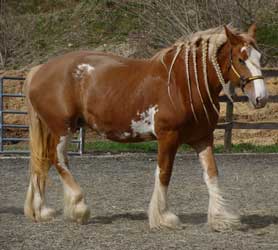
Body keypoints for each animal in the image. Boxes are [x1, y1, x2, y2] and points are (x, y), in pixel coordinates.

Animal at [23, 24, 268, 231]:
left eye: (259, 58)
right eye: (241, 59)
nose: (261, 98)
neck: (184, 84)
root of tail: (39, 70)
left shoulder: (203, 138)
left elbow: (212, 174)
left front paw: (220, 218)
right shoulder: (168, 137)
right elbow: (164, 173)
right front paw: (163, 217)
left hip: (53, 130)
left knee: (42, 162)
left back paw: (41, 211)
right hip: (62, 129)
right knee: (58, 160)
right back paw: (79, 208)